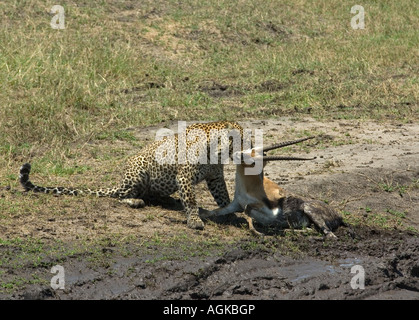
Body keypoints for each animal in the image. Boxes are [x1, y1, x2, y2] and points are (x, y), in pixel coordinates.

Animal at [19, 120, 244, 230]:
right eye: (240, 139)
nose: (245, 151)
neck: (217, 150)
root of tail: (120, 181)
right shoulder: (185, 177)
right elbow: (190, 200)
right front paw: (195, 220)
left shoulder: (216, 178)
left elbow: (223, 197)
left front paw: (231, 214)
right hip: (139, 171)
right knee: (121, 196)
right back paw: (135, 201)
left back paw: (169, 200)